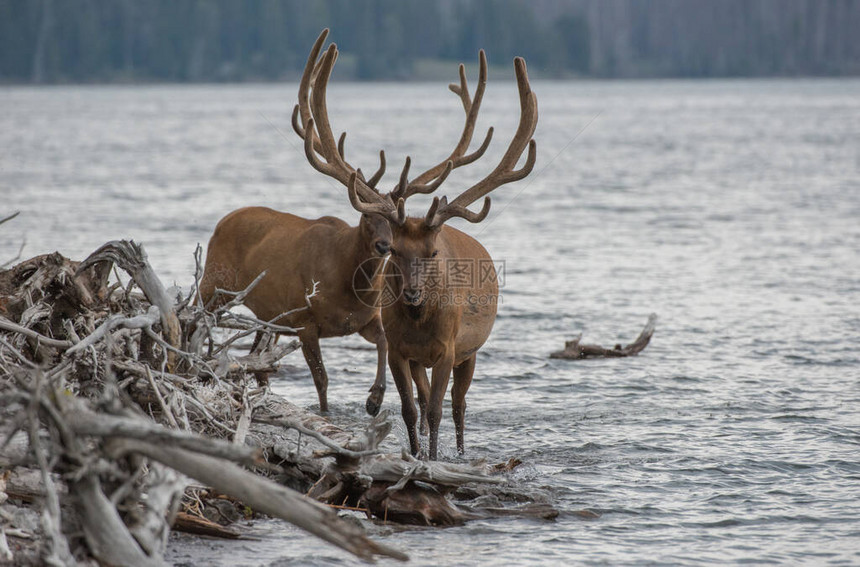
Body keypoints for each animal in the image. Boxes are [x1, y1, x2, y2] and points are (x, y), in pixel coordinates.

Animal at [298, 30, 536, 462]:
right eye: (394, 250)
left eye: (433, 253)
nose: (411, 292)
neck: (421, 323)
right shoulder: (399, 351)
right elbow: (411, 409)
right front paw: (416, 454)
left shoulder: (448, 348)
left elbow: (441, 408)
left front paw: (436, 458)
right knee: (426, 403)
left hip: (471, 352)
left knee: (459, 406)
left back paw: (460, 450)